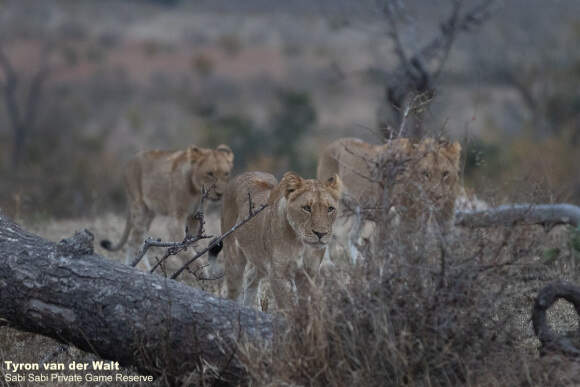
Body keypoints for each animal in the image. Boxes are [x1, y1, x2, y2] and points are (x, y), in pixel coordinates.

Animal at [99, 144, 233, 268]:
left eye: (226, 174)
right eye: (210, 173)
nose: (220, 193)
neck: (196, 191)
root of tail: (131, 160)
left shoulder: (194, 217)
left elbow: (190, 243)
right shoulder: (176, 219)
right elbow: (185, 248)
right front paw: (200, 272)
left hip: (150, 212)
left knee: (140, 240)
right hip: (139, 207)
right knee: (135, 240)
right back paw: (141, 268)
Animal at [211, 171, 340, 310]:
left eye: (330, 209)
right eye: (307, 208)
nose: (321, 233)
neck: (302, 244)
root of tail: (242, 174)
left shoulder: (309, 273)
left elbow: (305, 304)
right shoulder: (279, 273)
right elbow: (289, 307)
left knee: (251, 278)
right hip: (233, 258)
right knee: (234, 291)